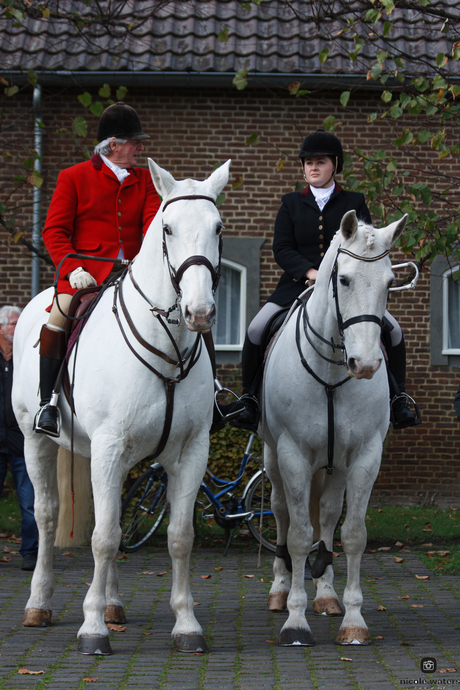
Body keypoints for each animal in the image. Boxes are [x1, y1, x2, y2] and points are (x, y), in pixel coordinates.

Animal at [12, 159, 230, 652]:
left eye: (218, 227)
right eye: (167, 228)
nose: (200, 312)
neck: (165, 349)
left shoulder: (190, 451)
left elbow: (179, 537)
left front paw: (186, 624)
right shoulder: (110, 447)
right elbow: (105, 538)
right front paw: (91, 629)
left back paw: (112, 603)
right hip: (37, 440)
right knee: (48, 515)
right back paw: (38, 604)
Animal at [260, 208, 408, 644]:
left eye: (390, 282)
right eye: (343, 279)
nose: (367, 365)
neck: (330, 370)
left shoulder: (364, 456)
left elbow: (353, 534)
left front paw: (354, 622)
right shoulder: (292, 454)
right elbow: (296, 534)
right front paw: (295, 622)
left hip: (334, 467)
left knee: (325, 517)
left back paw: (325, 594)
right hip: (273, 457)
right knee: (282, 515)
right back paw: (280, 590)